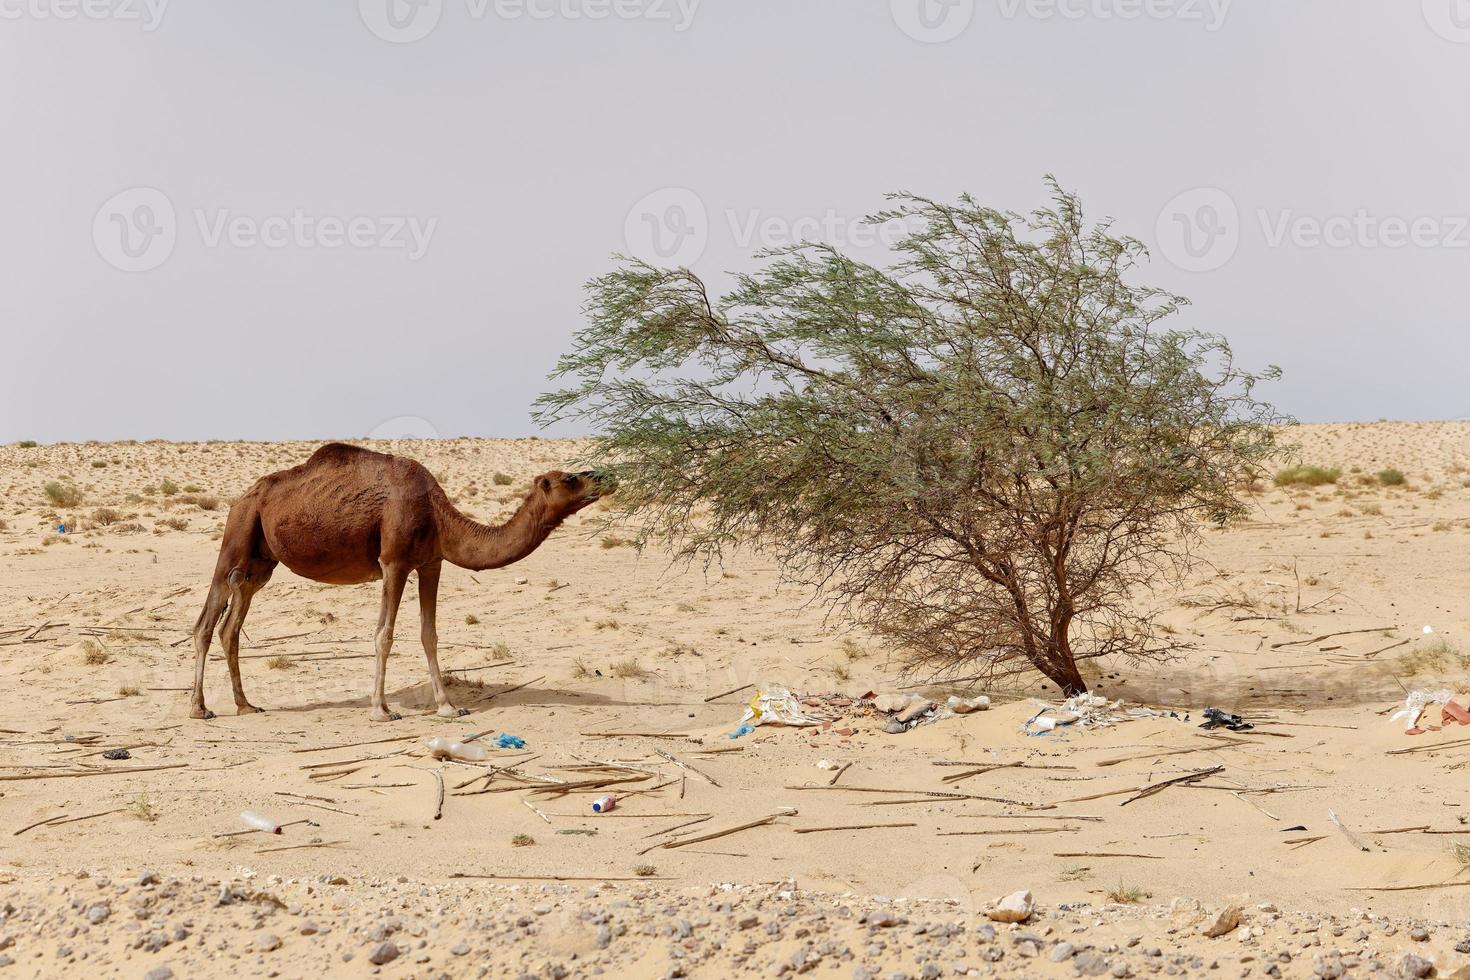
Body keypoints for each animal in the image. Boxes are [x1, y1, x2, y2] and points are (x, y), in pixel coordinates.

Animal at [189, 443, 602, 719]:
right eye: (570, 478)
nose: (603, 476)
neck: (438, 515)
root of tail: (243, 496)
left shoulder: (431, 562)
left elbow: (429, 633)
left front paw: (448, 707)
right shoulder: (394, 562)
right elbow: (384, 634)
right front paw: (382, 710)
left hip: (261, 562)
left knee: (231, 624)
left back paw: (245, 705)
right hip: (238, 532)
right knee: (206, 623)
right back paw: (200, 708)